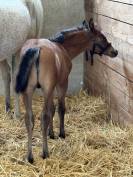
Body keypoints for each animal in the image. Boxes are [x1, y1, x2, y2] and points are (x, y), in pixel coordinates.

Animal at [15, 18, 118, 163]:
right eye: (102, 37)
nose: (115, 52)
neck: (63, 48)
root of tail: (36, 48)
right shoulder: (62, 83)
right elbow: (60, 108)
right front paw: (61, 133)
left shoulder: (52, 87)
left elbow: (52, 109)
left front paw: (51, 133)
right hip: (46, 89)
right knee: (43, 116)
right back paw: (45, 152)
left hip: (28, 91)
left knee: (29, 118)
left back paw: (29, 156)